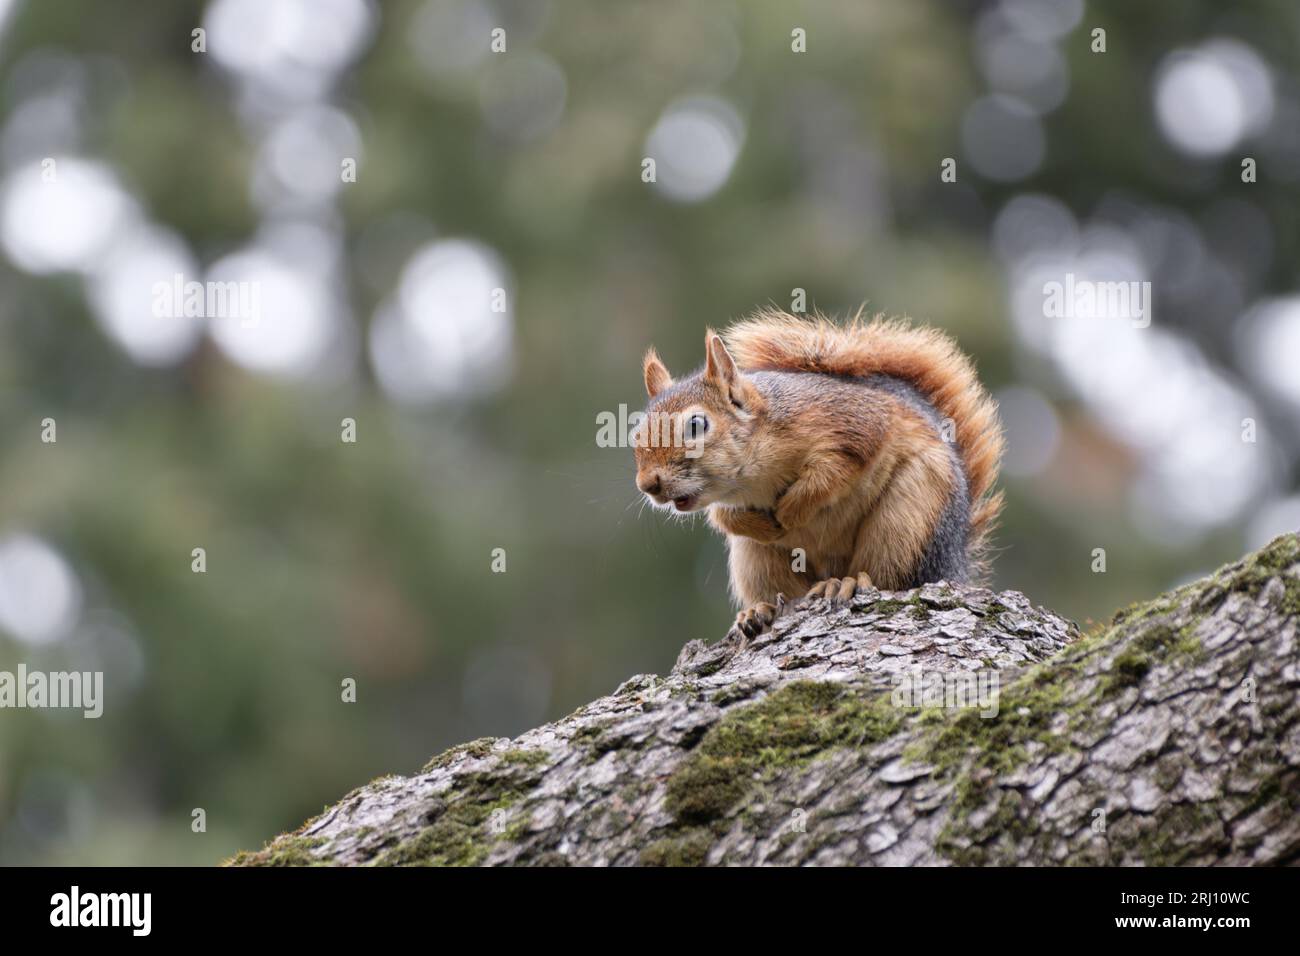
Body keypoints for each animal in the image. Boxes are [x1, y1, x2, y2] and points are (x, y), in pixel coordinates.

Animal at [634, 310, 1008, 639]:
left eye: (697, 425)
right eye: (636, 432)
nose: (647, 484)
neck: (753, 480)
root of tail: (956, 562)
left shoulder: (854, 423)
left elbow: (835, 470)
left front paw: (791, 510)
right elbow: (723, 517)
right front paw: (763, 525)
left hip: (910, 521)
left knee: (890, 577)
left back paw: (848, 582)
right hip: (755, 560)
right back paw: (759, 611)